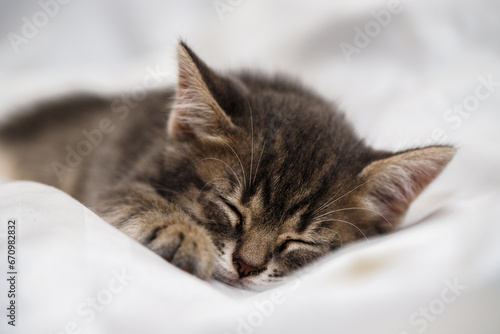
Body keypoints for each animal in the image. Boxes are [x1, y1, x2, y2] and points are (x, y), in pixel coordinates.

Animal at [0, 41, 456, 290]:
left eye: (301, 241)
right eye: (231, 207)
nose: (246, 267)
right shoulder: (110, 175)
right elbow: (132, 199)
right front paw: (182, 235)